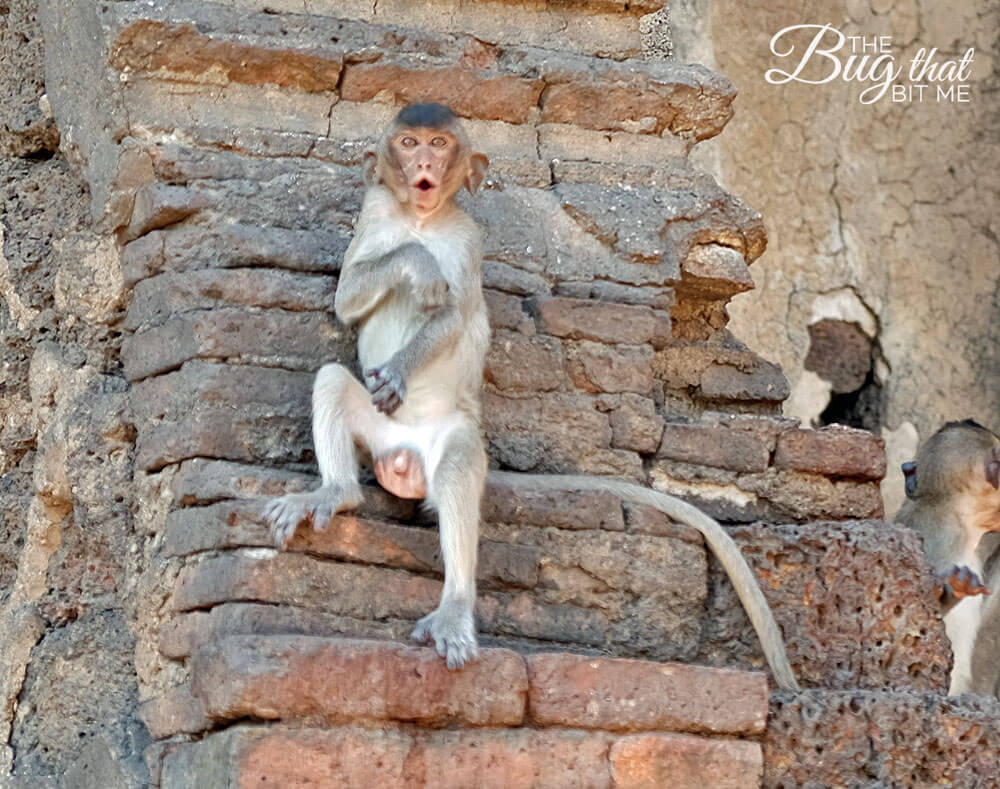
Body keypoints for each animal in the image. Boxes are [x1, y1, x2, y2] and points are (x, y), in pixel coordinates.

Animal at [264, 101, 796, 688]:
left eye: (438, 144)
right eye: (407, 141)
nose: (423, 163)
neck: (422, 220)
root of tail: (397, 456)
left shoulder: (469, 237)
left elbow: (453, 314)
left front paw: (404, 358)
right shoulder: (376, 209)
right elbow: (348, 297)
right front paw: (416, 264)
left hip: (451, 435)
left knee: (457, 469)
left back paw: (454, 605)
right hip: (378, 432)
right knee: (333, 380)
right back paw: (335, 492)